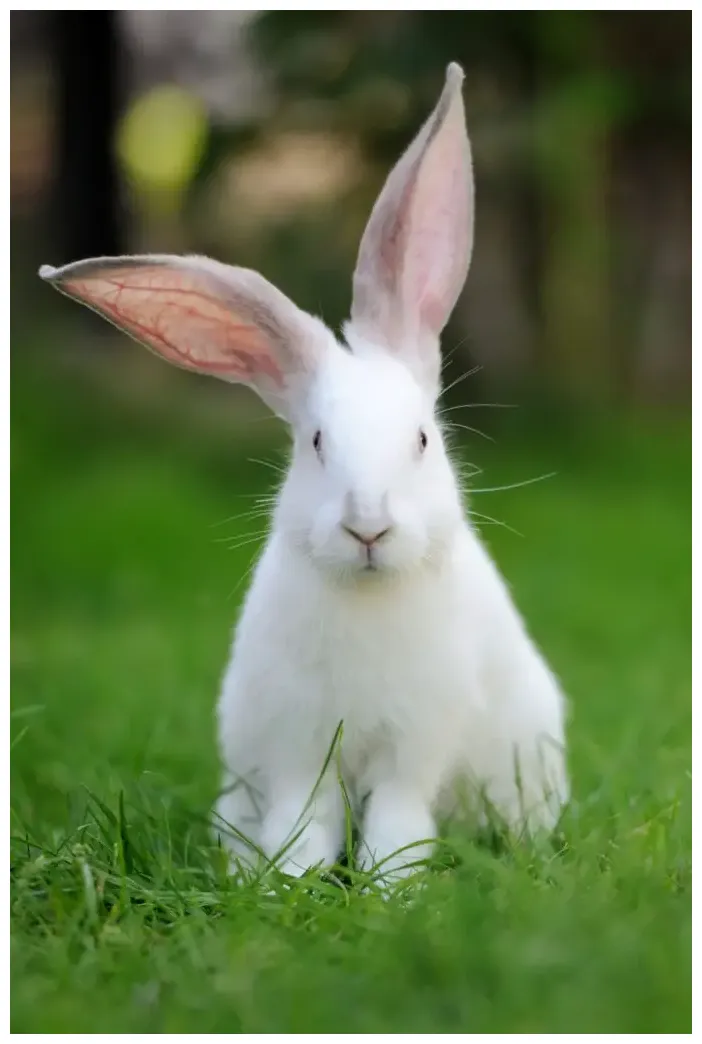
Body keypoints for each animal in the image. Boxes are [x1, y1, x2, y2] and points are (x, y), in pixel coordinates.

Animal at [39, 62, 569, 884]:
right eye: (316, 443)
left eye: (422, 439)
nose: (367, 526)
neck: (368, 596)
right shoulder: (297, 749)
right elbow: (304, 822)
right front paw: (287, 884)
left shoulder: (413, 748)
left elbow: (396, 823)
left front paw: (388, 890)